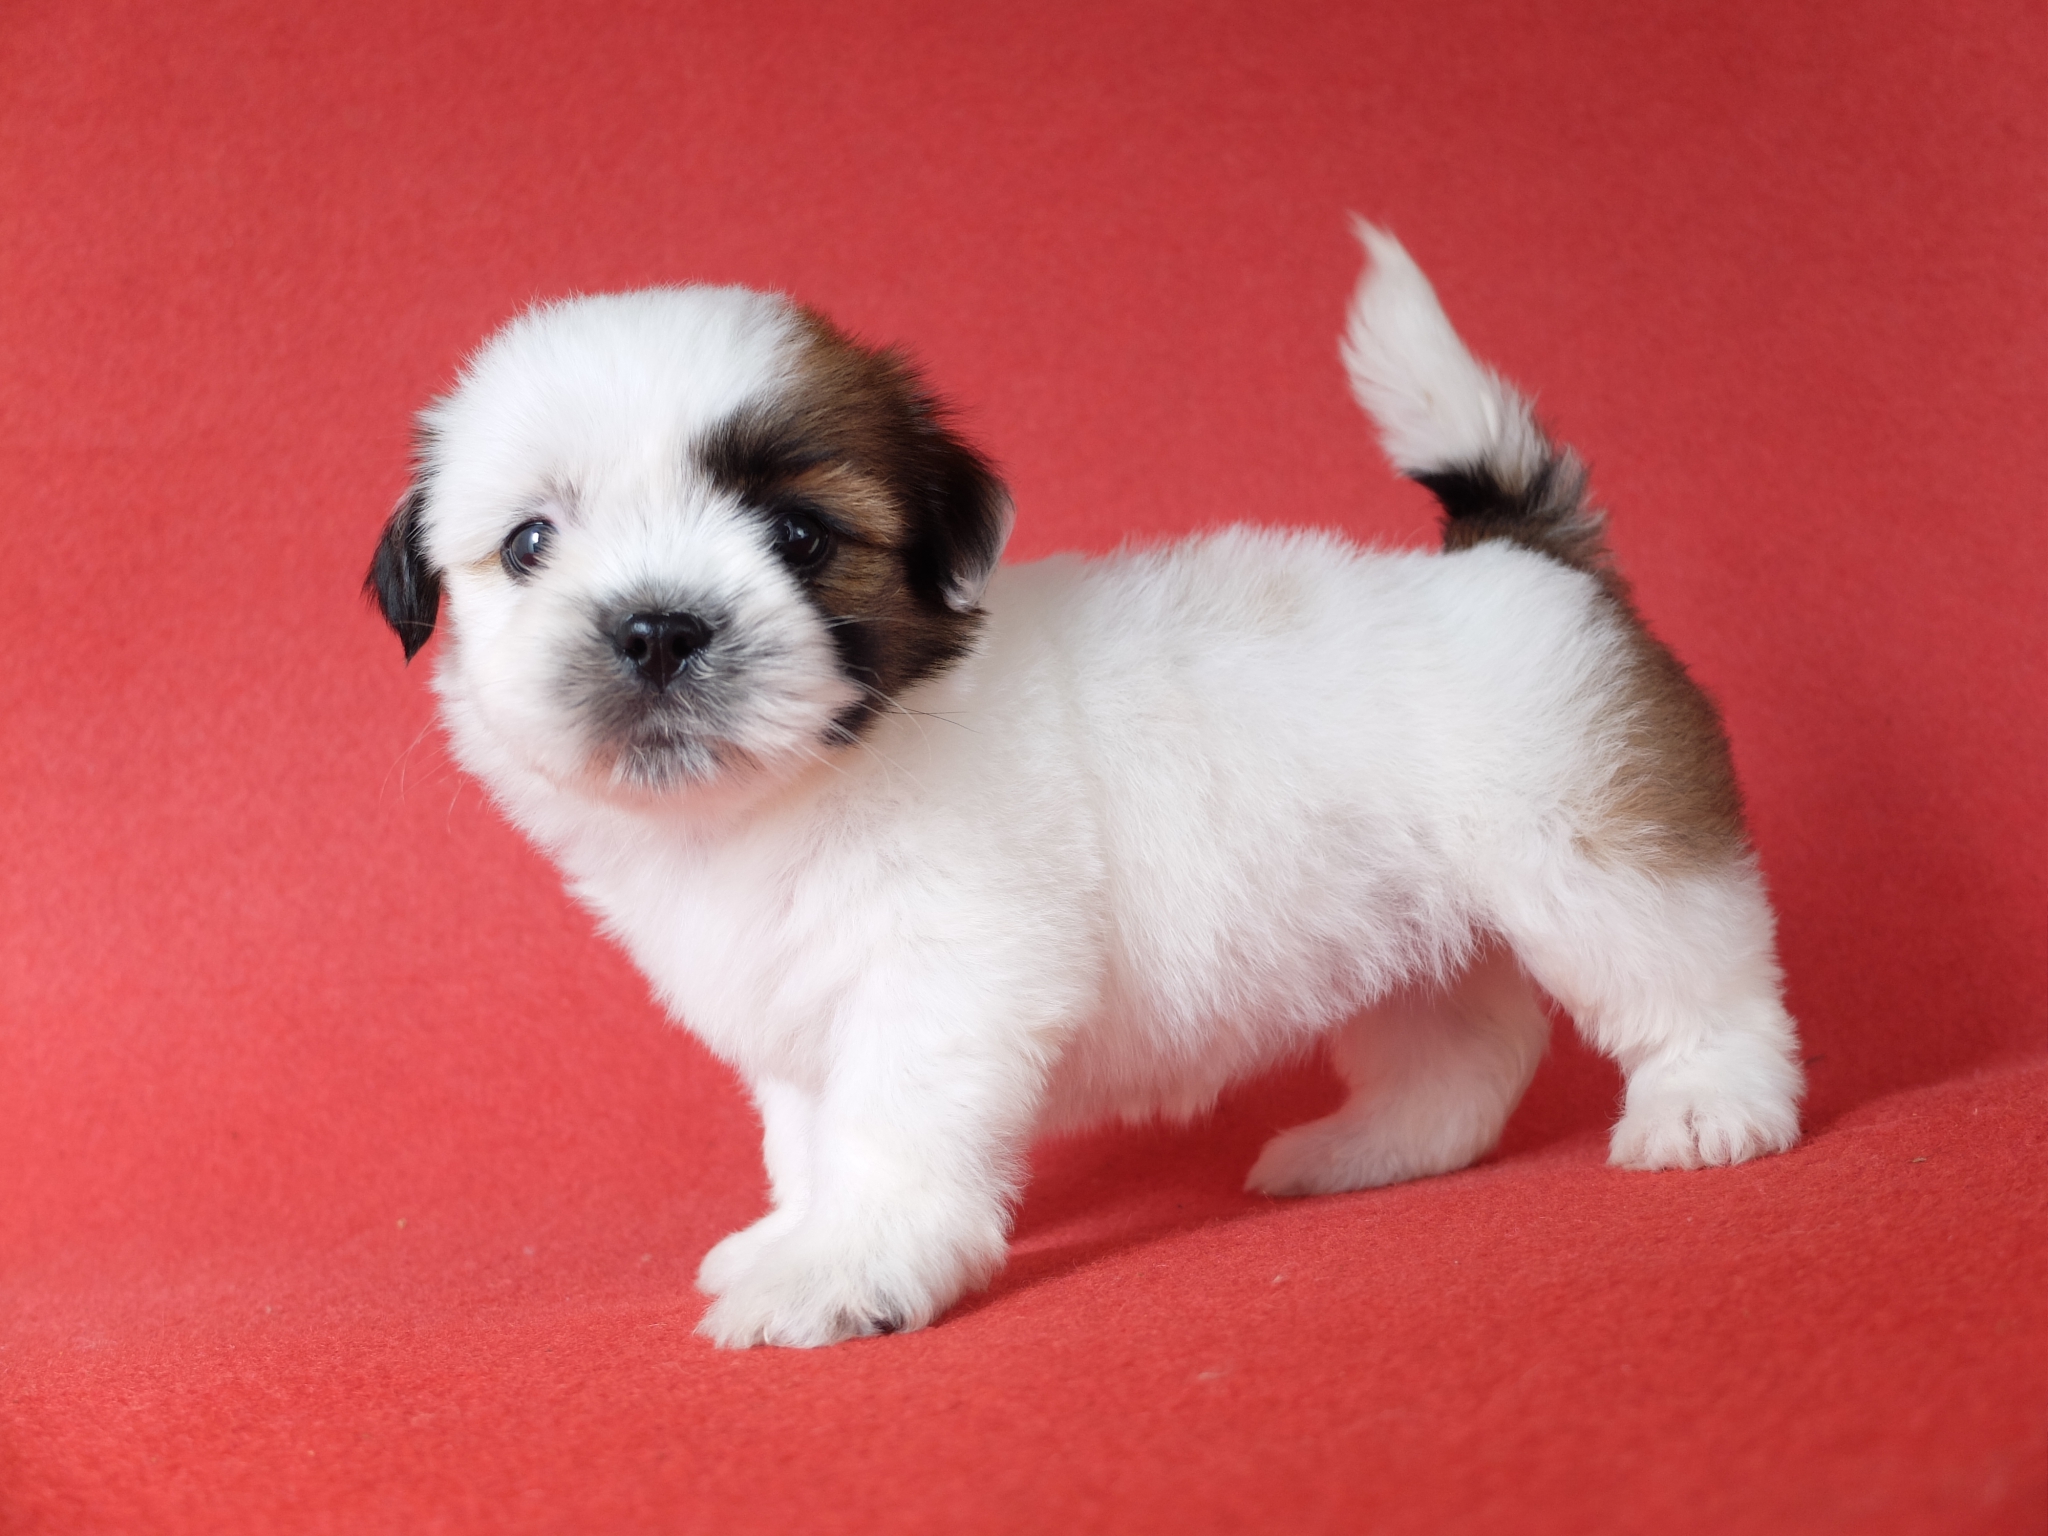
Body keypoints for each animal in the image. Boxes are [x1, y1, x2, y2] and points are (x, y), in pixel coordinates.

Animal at [369, 226, 1803, 1348]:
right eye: (530, 543)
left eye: (800, 535)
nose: (658, 627)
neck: (798, 786)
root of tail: (1518, 553)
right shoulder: (795, 1010)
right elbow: (810, 1132)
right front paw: (803, 1230)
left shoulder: (942, 975)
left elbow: (889, 1125)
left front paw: (849, 1268)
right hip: (1398, 919)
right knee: (1459, 1047)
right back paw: (1367, 1150)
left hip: (1590, 844)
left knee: (1692, 971)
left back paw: (1711, 1103)